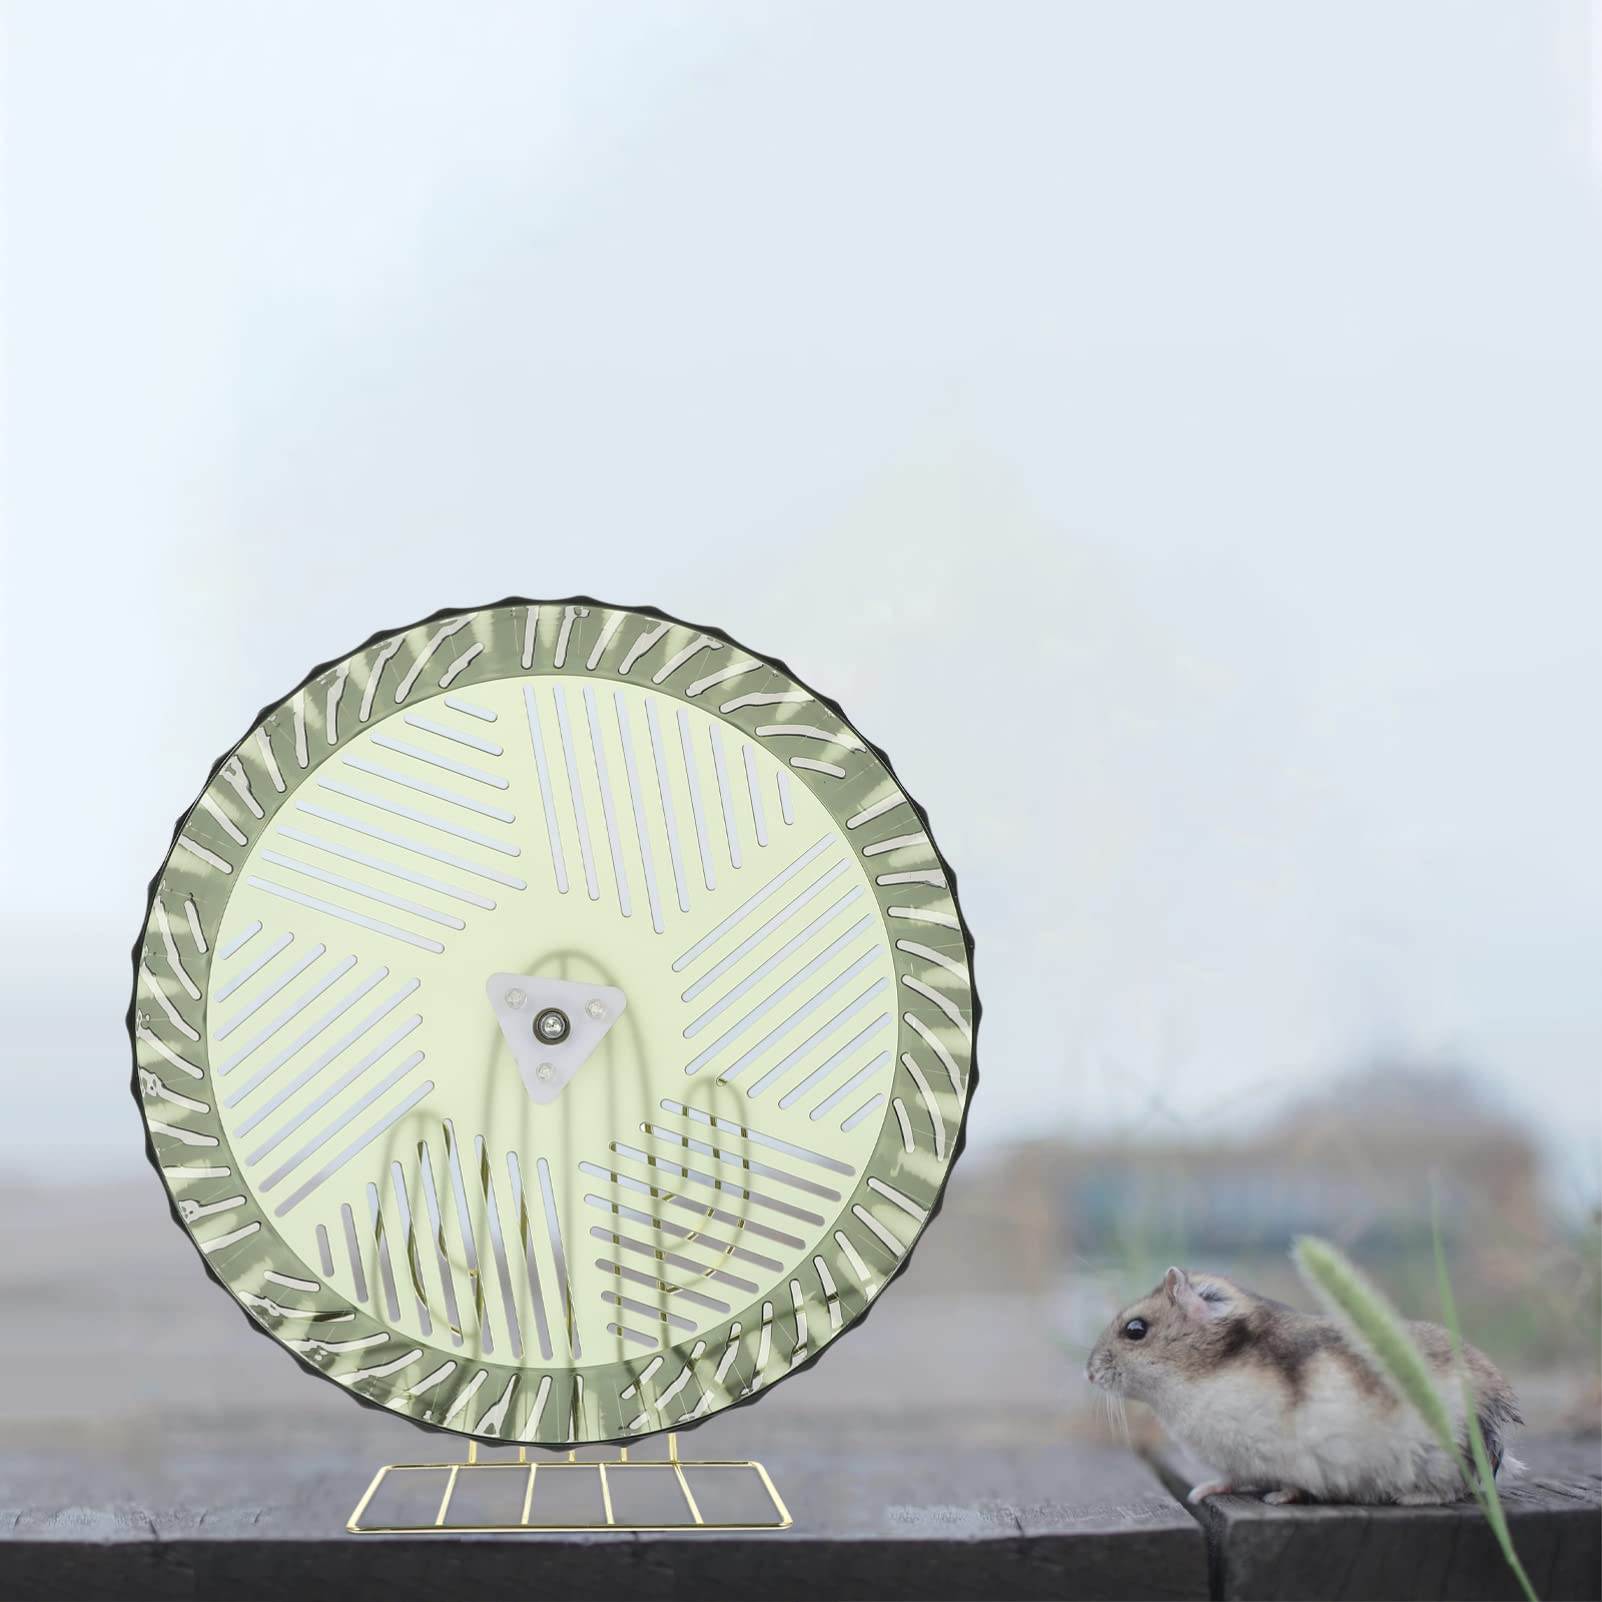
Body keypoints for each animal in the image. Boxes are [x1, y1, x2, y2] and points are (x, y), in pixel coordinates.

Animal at [1086, 1266, 1523, 1506]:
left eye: (1135, 1329)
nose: (1088, 1374)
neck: (1199, 1374)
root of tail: (1495, 1410)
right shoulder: (1234, 1461)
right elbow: (1228, 1479)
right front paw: (1200, 1492)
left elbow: (1291, 1484)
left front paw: (1276, 1498)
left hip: (1442, 1459)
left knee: (1453, 1489)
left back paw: (1408, 1497)